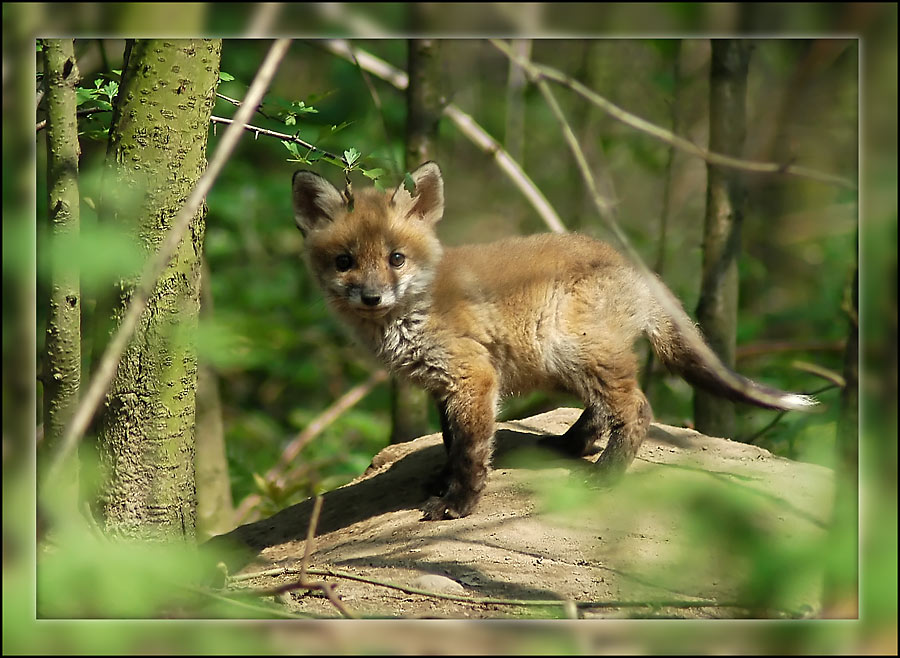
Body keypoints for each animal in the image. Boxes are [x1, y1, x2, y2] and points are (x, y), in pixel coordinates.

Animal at [292, 159, 820, 516]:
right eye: (345, 262)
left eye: (396, 258)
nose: (372, 297)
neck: (414, 313)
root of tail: (633, 264)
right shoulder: (447, 386)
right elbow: (449, 441)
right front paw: (443, 481)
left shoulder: (473, 378)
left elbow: (470, 450)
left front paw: (459, 503)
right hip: (566, 360)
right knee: (604, 410)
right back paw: (571, 445)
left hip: (569, 350)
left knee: (637, 409)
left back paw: (606, 476)